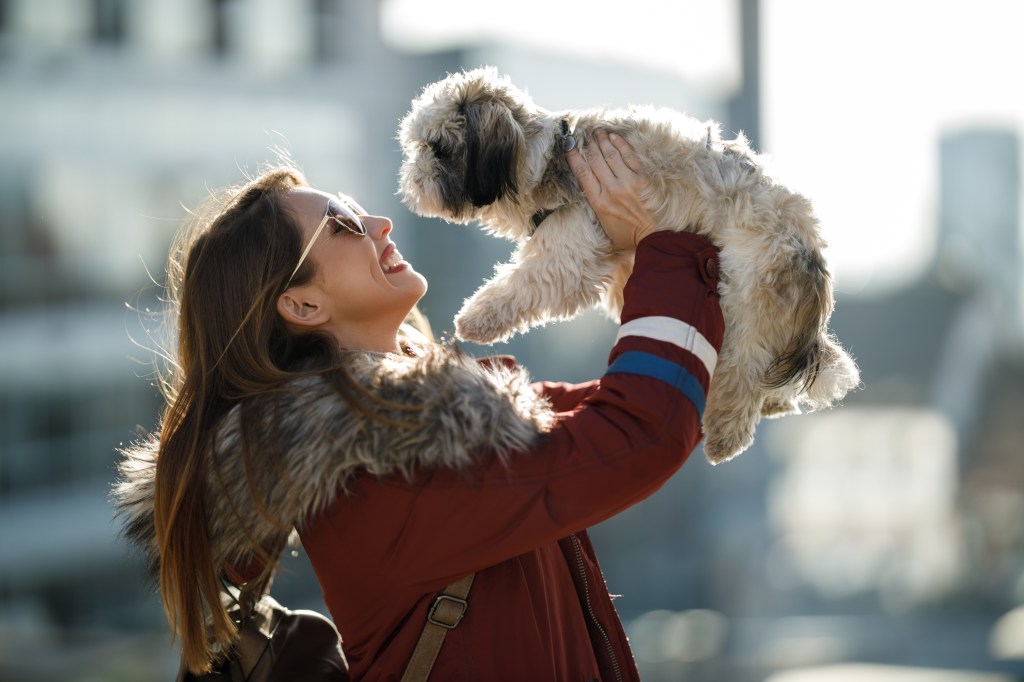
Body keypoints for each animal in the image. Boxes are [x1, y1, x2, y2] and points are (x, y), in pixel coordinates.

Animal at [395, 66, 860, 462]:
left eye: (439, 149)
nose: (410, 181)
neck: (544, 158)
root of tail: (811, 249)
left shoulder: (572, 245)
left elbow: (523, 283)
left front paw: (475, 318)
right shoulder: (615, 254)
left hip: (746, 291)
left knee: (746, 366)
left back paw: (726, 434)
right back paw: (771, 403)